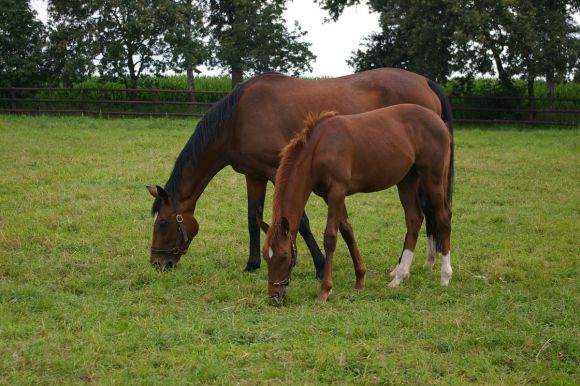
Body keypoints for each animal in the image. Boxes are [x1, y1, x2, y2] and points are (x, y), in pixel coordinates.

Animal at [146, 67, 454, 278]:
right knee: (423, 213)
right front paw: (252, 264)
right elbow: (253, 218)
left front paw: (318, 265)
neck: (238, 117)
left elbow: (301, 221)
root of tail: (424, 81)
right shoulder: (254, 174)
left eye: (163, 223)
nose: (158, 263)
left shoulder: (276, 171)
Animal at [258, 104, 454, 304]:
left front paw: (325, 289)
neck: (319, 147)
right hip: (407, 179)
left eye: (284, 256)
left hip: (433, 178)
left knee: (443, 218)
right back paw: (399, 276)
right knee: (414, 219)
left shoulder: (337, 191)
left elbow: (331, 237)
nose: (274, 296)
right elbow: (347, 231)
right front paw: (360, 278)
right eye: (265, 255)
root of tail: (439, 122)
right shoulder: (329, 196)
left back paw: (445, 276)